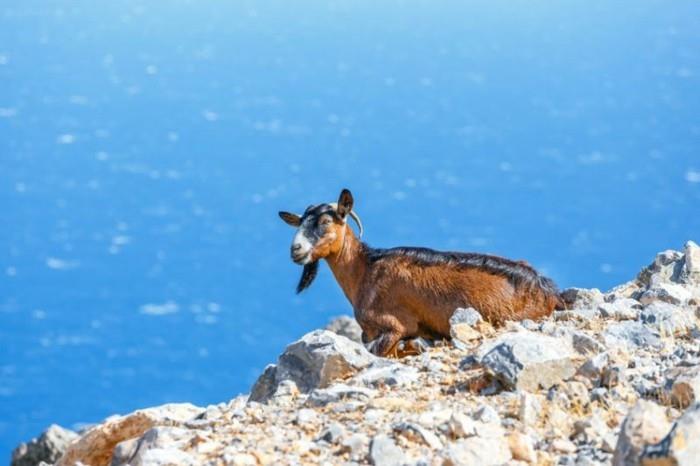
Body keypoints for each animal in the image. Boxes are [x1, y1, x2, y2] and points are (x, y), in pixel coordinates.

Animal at [278, 189, 564, 356]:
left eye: (326, 221)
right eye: (300, 224)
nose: (295, 249)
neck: (366, 271)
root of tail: (550, 292)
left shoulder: (393, 327)